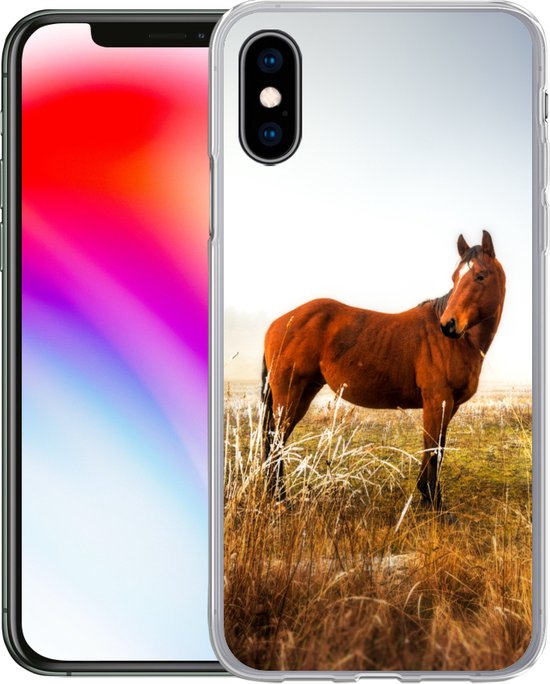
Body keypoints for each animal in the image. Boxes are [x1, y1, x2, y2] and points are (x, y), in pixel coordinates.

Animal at [261, 231, 506, 509]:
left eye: (480, 276)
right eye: (455, 277)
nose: (448, 325)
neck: (460, 343)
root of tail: (279, 323)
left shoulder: (448, 405)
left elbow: (436, 448)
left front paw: (426, 496)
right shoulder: (437, 401)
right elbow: (433, 449)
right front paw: (435, 503)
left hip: (303, 394)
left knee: (276, 440)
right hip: (289, 394)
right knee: (276, 441)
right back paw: (281, 499)